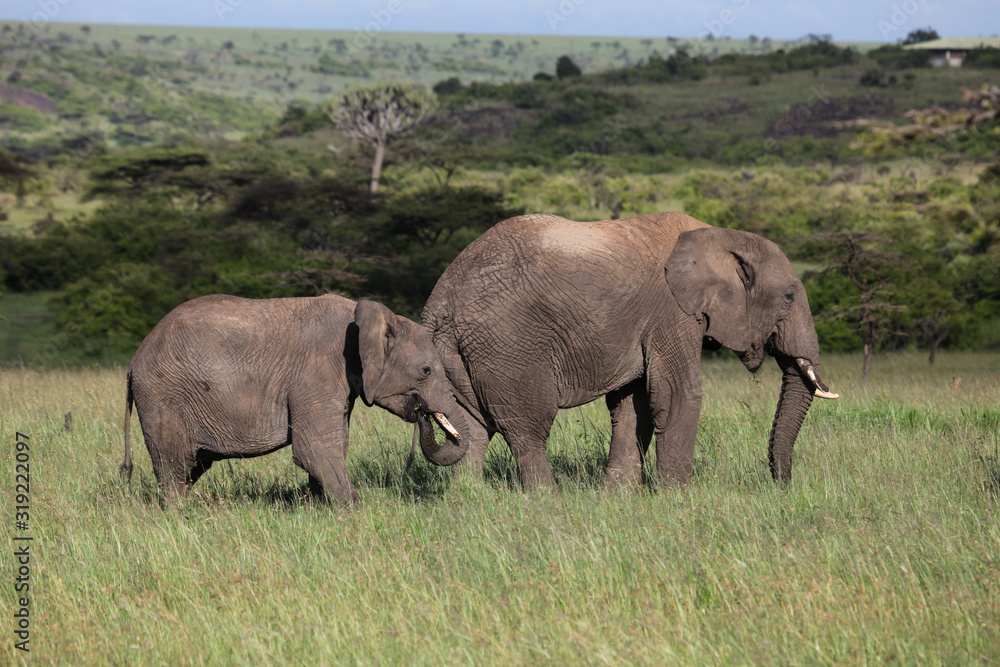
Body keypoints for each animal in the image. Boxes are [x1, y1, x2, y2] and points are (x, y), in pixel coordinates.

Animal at [121, 294, 469, 506]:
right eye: (425, 371)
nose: (422, 414)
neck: (365, 316)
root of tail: (133, 361)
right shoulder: (317, 373)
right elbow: (315, 448)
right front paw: (355, 513)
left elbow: (331, 447)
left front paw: (316, 506)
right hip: (163, 398)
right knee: (175, 465)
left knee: (191, 466)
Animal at [421, 212, 838, 491]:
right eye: (789, 296)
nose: (780, 485)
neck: (719, 236)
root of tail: (439, 303)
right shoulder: (672, 312)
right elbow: (677, 395)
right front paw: (679, 500)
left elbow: (632, 405)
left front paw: (618, 497)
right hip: (508, 345)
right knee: (527, 427)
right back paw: (546, 502)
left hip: (458, 353)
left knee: (471, 427)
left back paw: (467, 501)